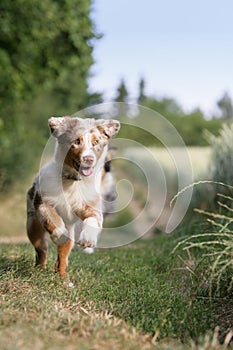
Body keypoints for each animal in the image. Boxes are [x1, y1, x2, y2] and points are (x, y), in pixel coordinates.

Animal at [26, 116, 120, 280]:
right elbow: (52, 219)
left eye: (96, 142)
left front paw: (88, 240)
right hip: (33, 226)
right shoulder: (42, 202)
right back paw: (40, 270)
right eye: (76, 141)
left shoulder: (88, 206)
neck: (72, 182)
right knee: (41, 250)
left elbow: (93, 219)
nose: (89, 159)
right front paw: (59, 235)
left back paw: (64, 279)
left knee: (62, 258)